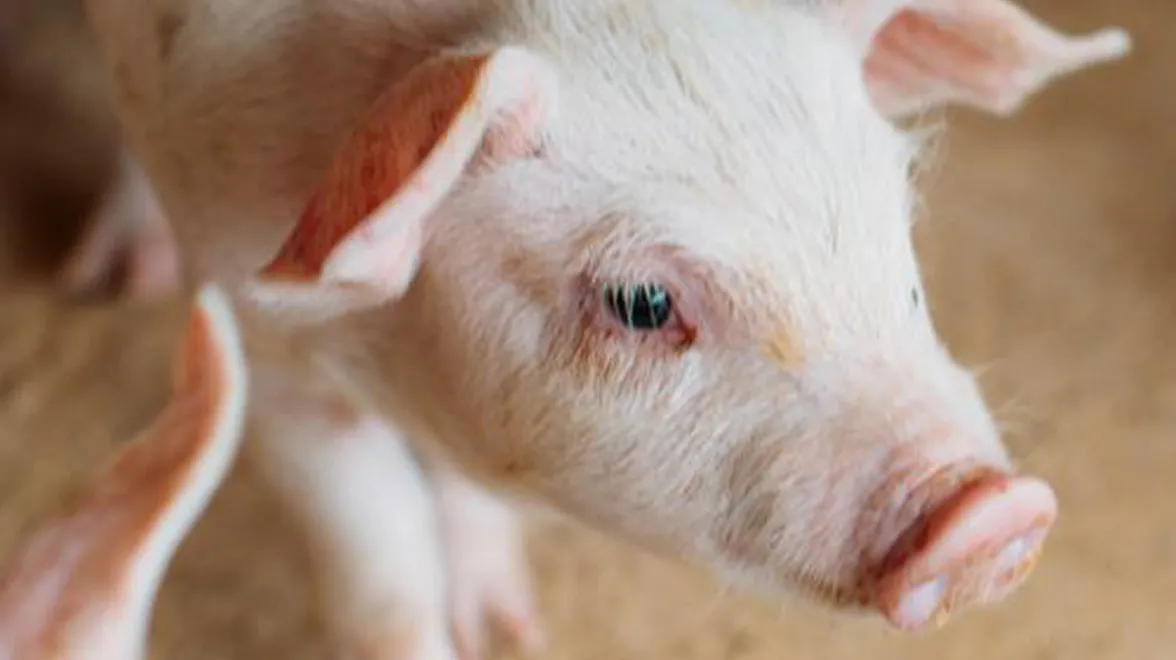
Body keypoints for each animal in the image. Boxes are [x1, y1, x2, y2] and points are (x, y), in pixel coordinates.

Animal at [77, 0, 1131, 658]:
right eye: (643, 303)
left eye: (897, 231)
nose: (998, 511)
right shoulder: (266, 344)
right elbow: (377, 562)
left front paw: (508, 633)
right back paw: (115, 279)